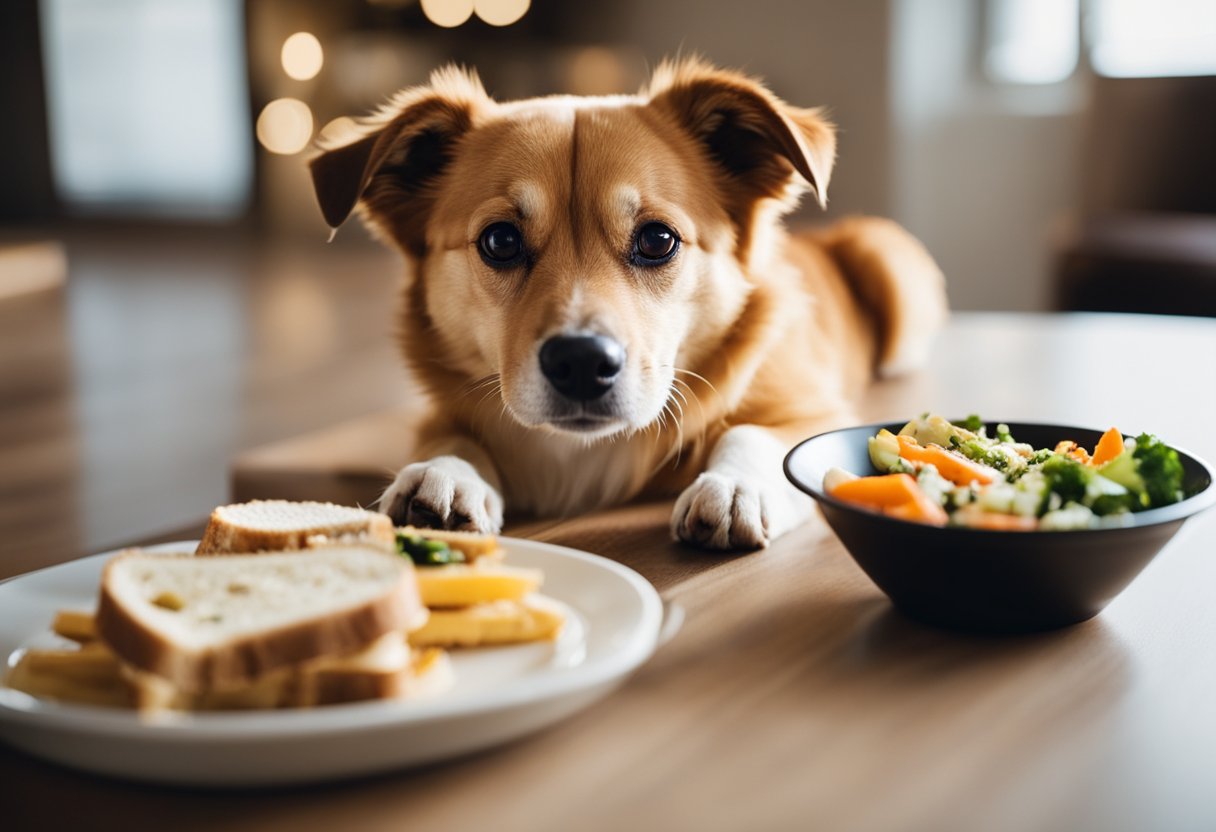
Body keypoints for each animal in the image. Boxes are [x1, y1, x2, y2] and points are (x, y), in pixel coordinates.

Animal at [306, 60, 948, 552]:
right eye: (499, 241)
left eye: (658, 239)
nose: (581, 363)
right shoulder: (442, 413)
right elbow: (448, 437)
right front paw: (444, 474)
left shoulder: (815, 407)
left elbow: (753, 434)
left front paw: (735, 487)